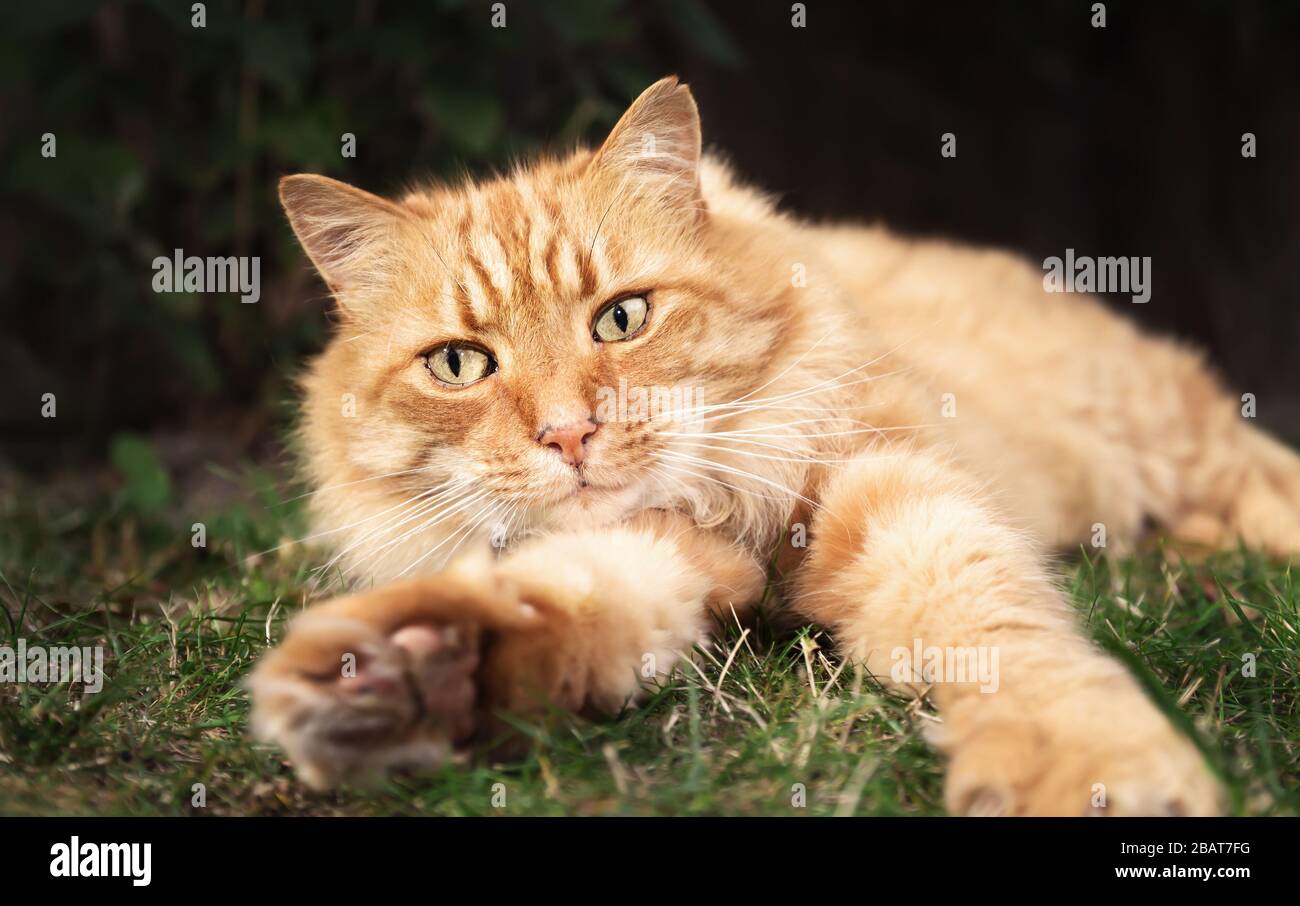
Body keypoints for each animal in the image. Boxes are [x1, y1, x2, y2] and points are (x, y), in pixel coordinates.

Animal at [250, 77, 1300, 811]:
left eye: (622, 318)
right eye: (460, 365)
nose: (568, 433)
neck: (727, 514)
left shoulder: (892, 486)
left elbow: (1000, 632)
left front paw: (1085, 765)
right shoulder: (670, 554)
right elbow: (567, 597)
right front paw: (420, 673)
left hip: (1174, 434)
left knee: (1260, 482)